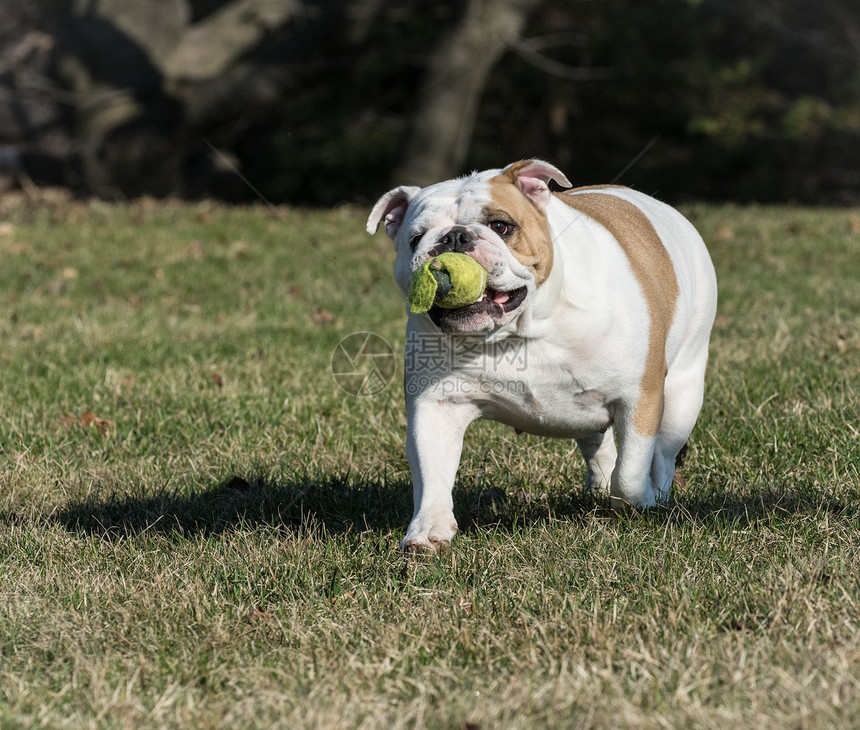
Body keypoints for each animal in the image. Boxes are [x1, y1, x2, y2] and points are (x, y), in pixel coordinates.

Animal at [366, 158, 716, 544]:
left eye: (501, 226)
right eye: (415, 239)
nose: (454, 237)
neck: (518, 332)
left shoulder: (640, 397)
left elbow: (631, 470)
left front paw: (639, 504)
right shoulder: (437, 405)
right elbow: (432, 475)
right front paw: (428, 531)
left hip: (682, 394)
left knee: (663, 455)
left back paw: (659, 495)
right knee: (596, 442)